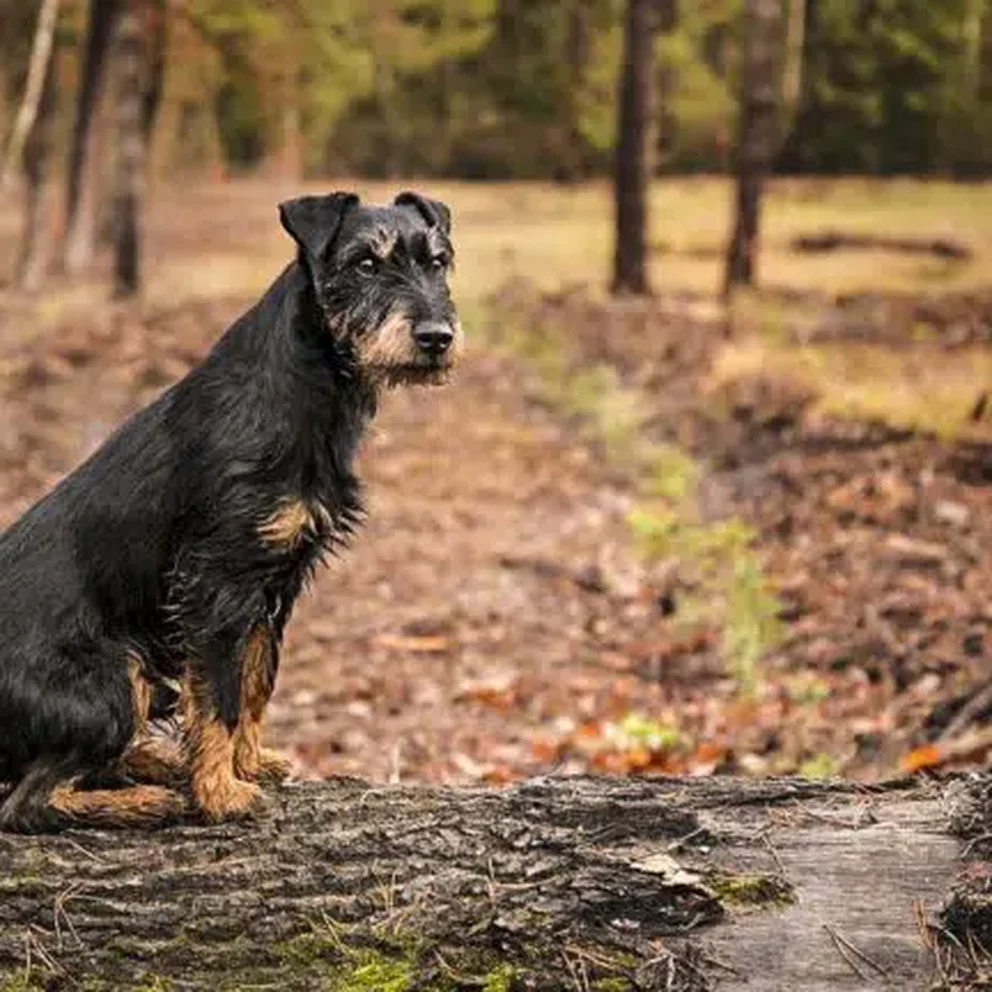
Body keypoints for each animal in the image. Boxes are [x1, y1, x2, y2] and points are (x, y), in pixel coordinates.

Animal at [0, 190, 462, 832]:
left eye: (438, 261)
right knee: (28, 800)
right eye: (365, 264)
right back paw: (148, 799)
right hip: (115, 677)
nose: (436, 336)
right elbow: (219, 696)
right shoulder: (216, 583)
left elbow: (254, 683)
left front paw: (245, 764)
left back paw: (158, 763)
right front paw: (219, 793)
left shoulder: (273, 586)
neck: (308, 389)